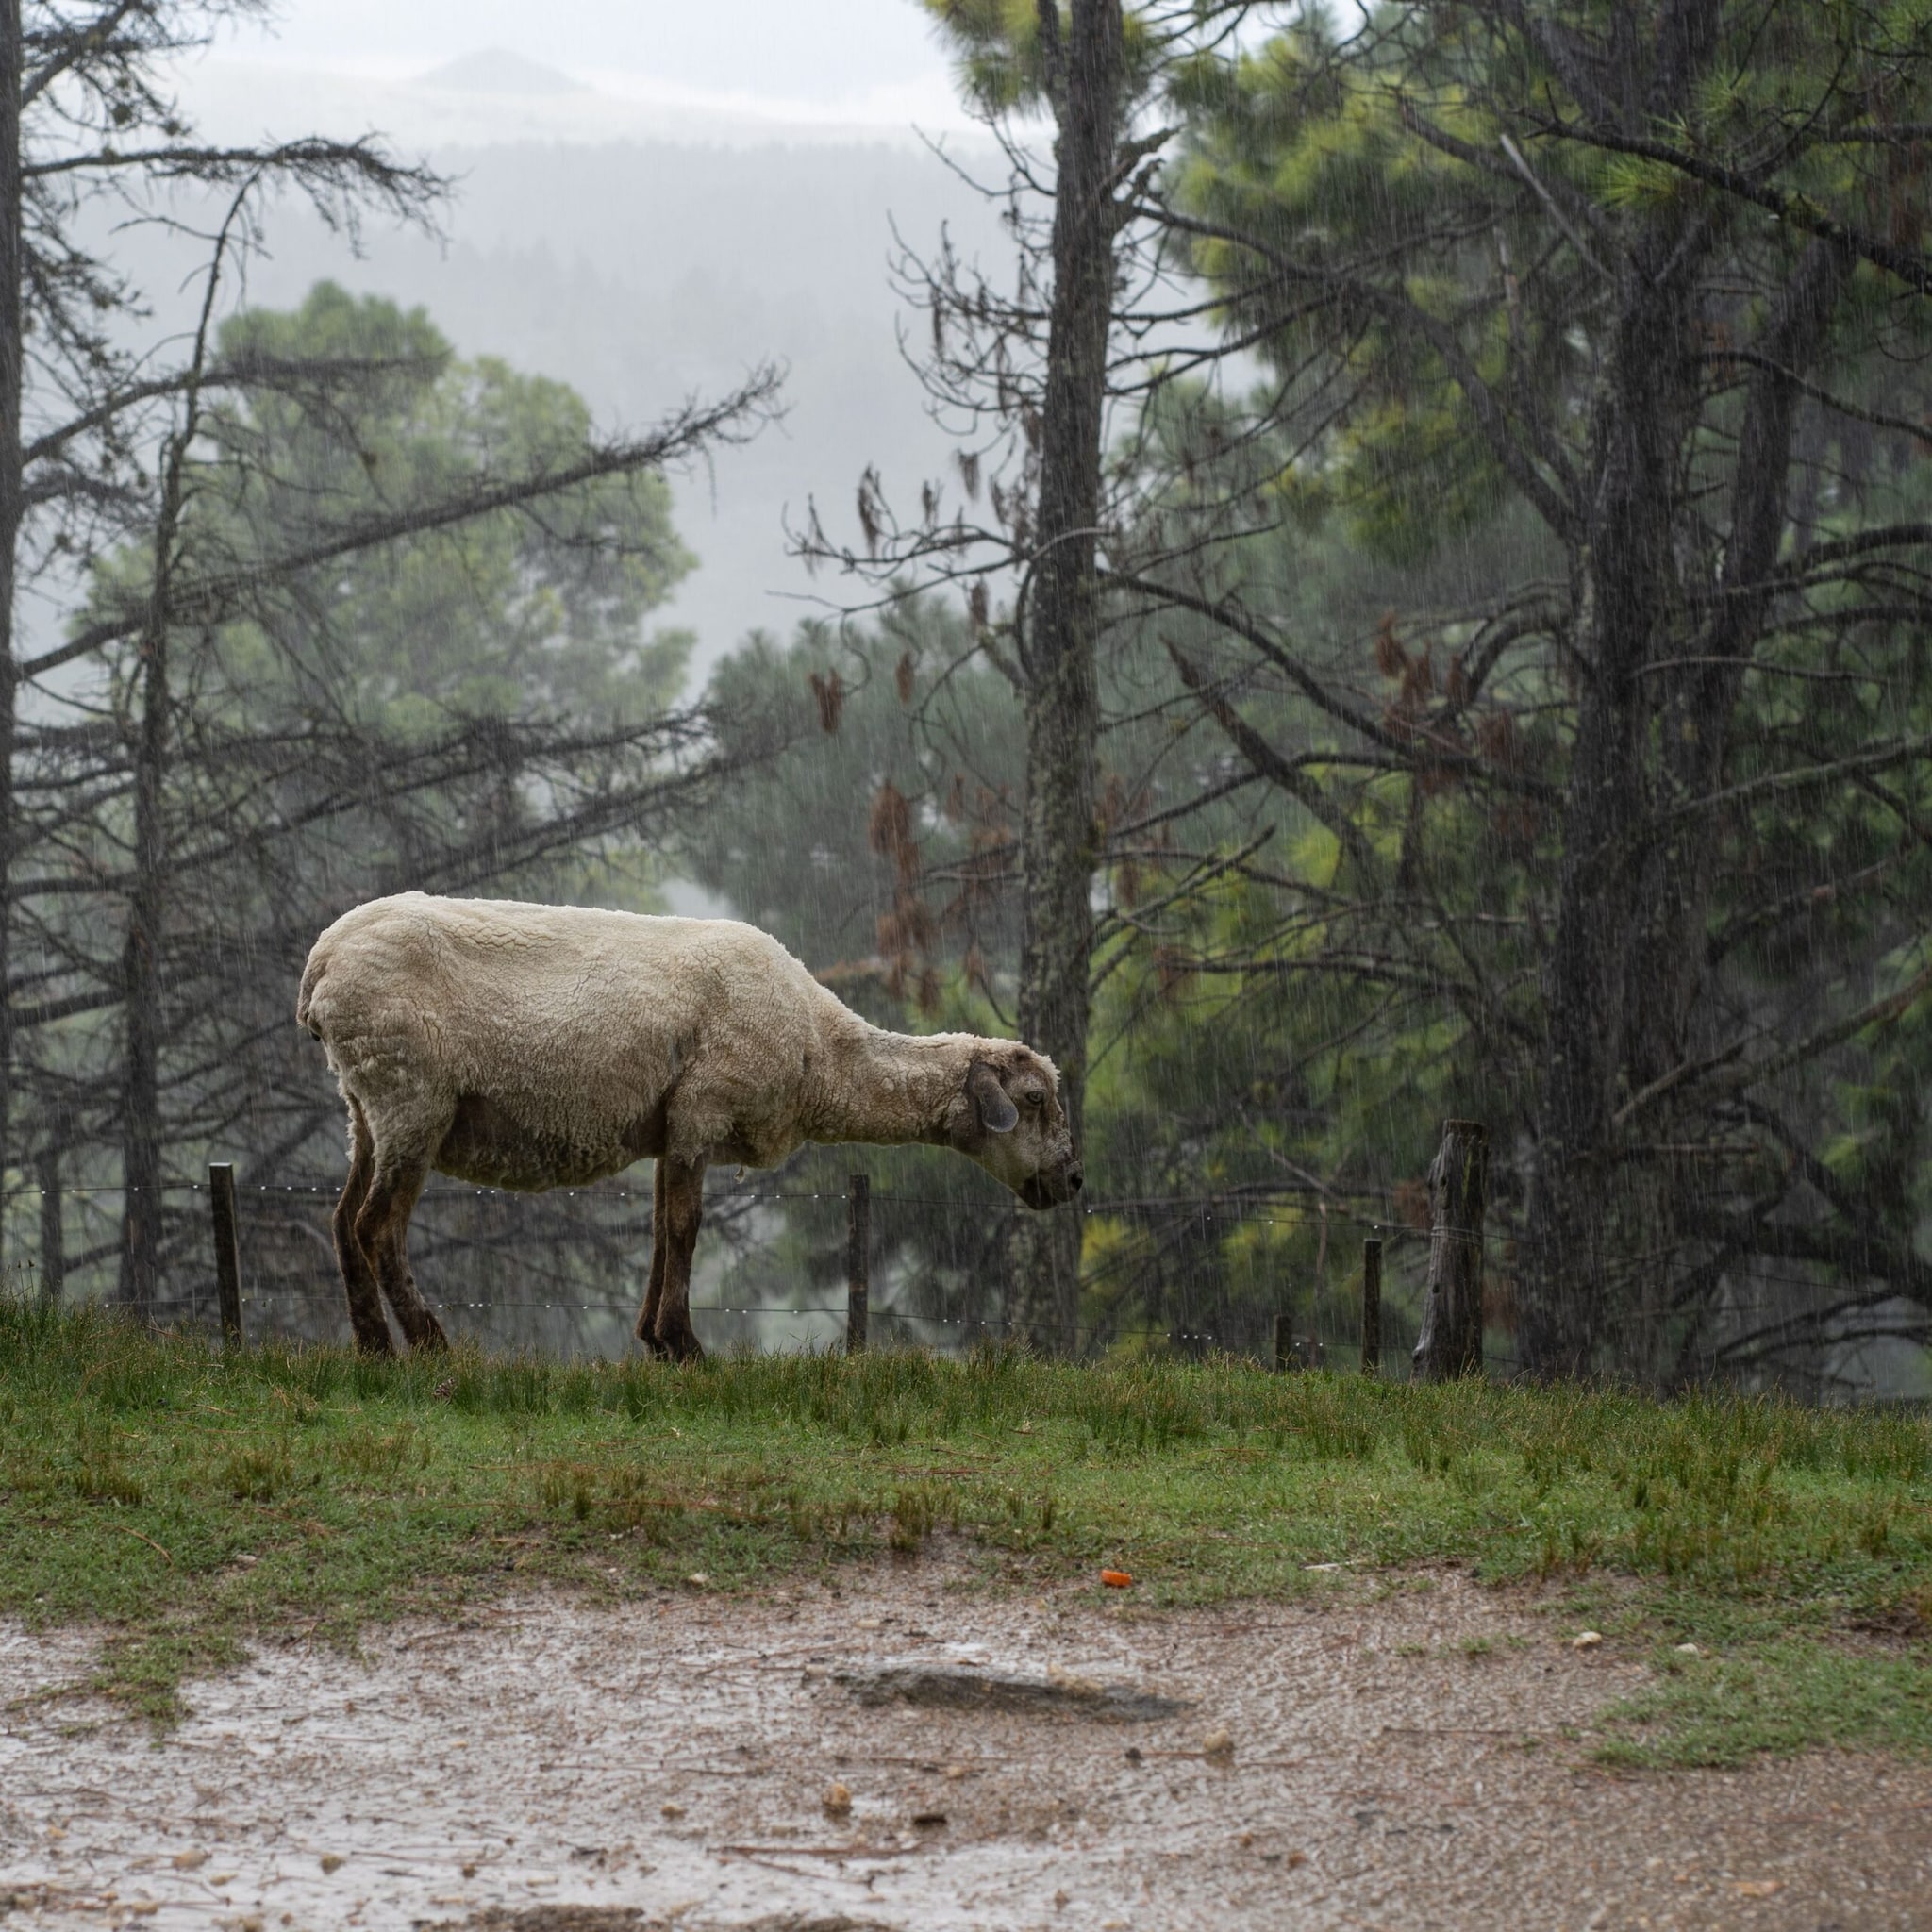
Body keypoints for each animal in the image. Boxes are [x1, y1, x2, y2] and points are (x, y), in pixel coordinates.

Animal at [297, 892, 1082, 1357]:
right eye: (1035, 1098)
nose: (1073, 1182)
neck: (820, 1051)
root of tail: (323, 962)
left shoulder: (668, 1127)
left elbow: (657, 1229)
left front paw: (653, 1339)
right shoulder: (704, 1108)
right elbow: (685, 1227)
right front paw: (684, 1345)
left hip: (364, 1104)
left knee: (341, 1221)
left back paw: (372, 1347)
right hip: (411, 1095)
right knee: (377, 1227)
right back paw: (431, 1344)